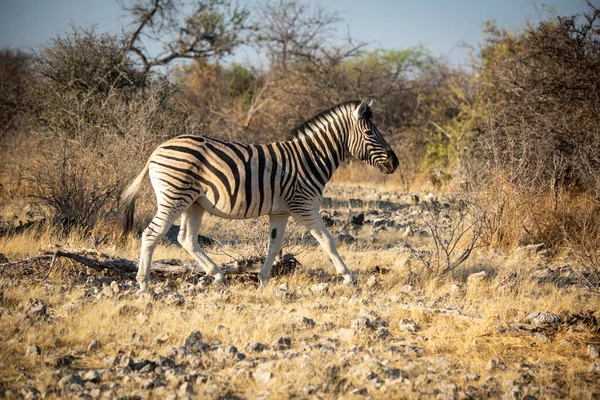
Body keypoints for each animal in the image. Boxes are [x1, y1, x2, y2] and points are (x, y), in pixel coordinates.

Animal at [120, 99, 398, 290]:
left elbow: (274, 246)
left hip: (194, 203)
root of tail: (157, 150)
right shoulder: (303, 205)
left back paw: (218, 275)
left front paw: (262, 279)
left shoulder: (281, 211)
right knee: (151, 234)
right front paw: (348, 277)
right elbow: (328, 241)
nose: (395, 163)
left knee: (186, 238)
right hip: (174, 197)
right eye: (370, 133)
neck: (310, 158)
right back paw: (144, 284)